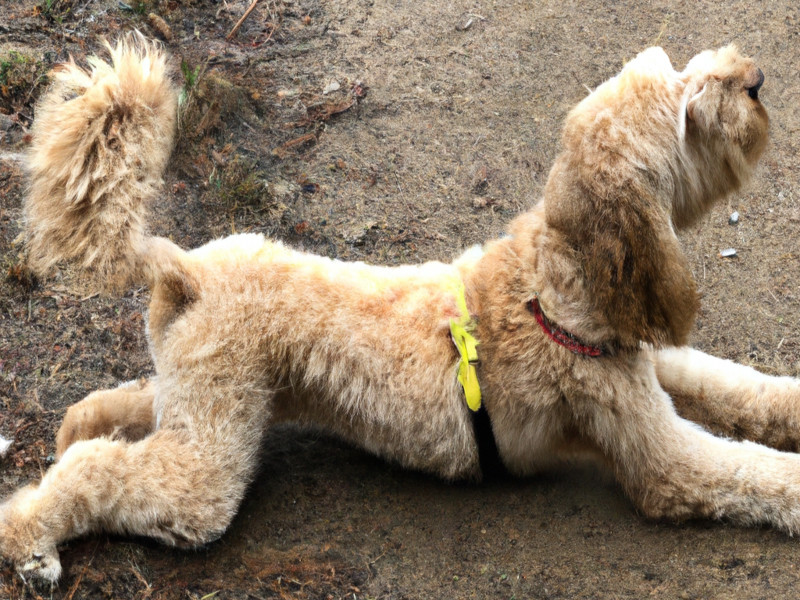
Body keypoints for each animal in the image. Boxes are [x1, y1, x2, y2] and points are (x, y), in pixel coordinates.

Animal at [1, 34, 788, 584]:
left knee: (119, 406)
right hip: (206, 467)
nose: (755, 79)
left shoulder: (646, 363)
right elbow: (755, 472)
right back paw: (30, 542)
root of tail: (183, 262)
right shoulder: (661, 459)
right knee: (99, 471)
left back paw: (79, 429)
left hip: (210, 398)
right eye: (686, 109)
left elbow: (740, 386)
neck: (557, 279)